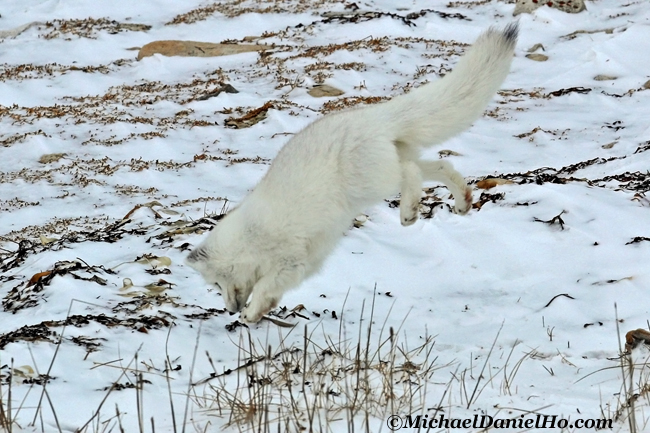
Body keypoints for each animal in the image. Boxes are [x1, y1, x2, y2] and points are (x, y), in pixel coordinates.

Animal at [186, 22, 516, 320]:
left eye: (216, 283)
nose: (230, 310)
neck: (250, 237)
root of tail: (372, 116)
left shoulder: (289, 259)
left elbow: (267, 284)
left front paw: (250, 314)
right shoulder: (308, 262)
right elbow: (276, 289)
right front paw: (257, 312)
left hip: (372, 180)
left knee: (409, 172)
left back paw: (408, 212)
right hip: (394, 160)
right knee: (439, 165)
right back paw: (462, 200)